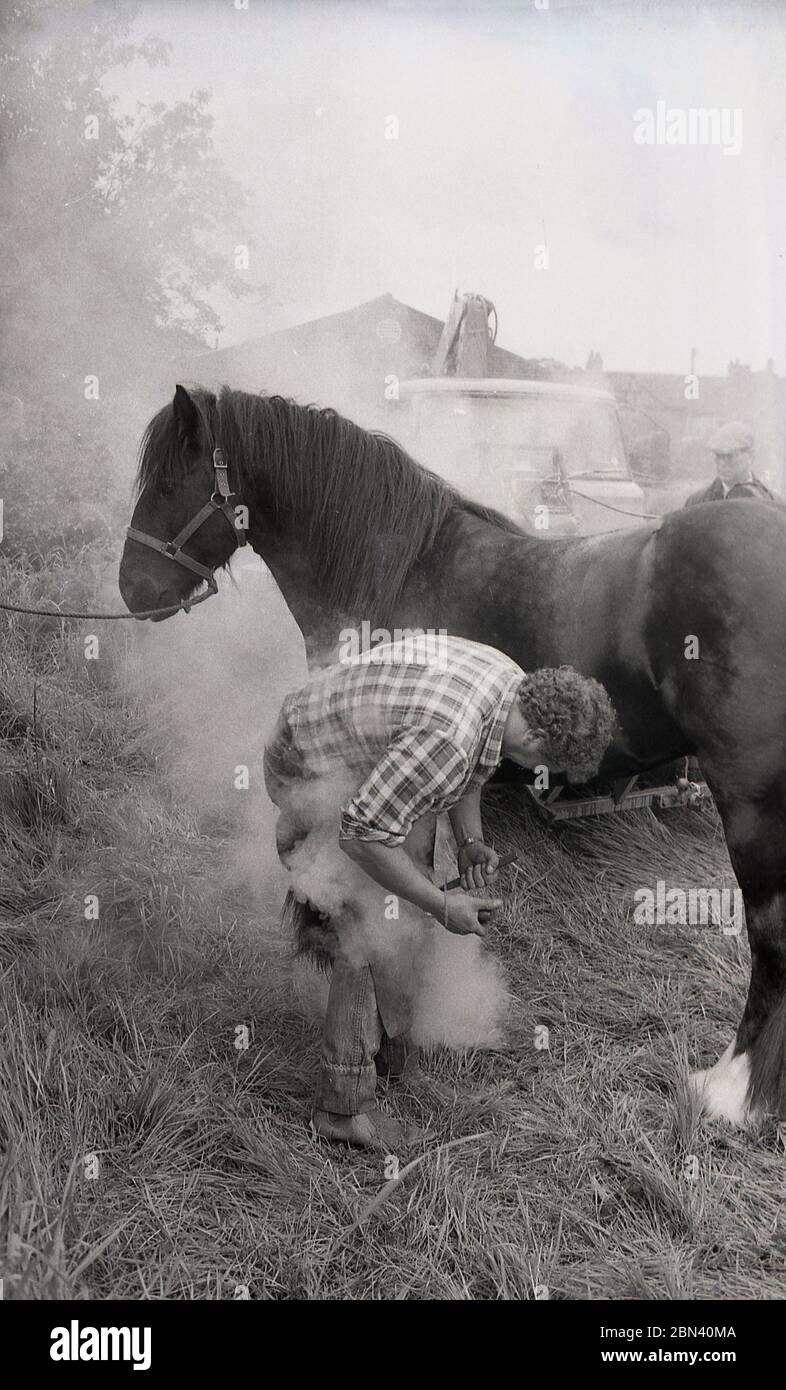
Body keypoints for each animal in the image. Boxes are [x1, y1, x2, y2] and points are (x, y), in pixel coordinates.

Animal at [118, 386, 784, 1123]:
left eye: (170, 484)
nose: (132, 590)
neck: (401, 567)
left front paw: (388, 1028)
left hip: (751, 807)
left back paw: (729, 1093)